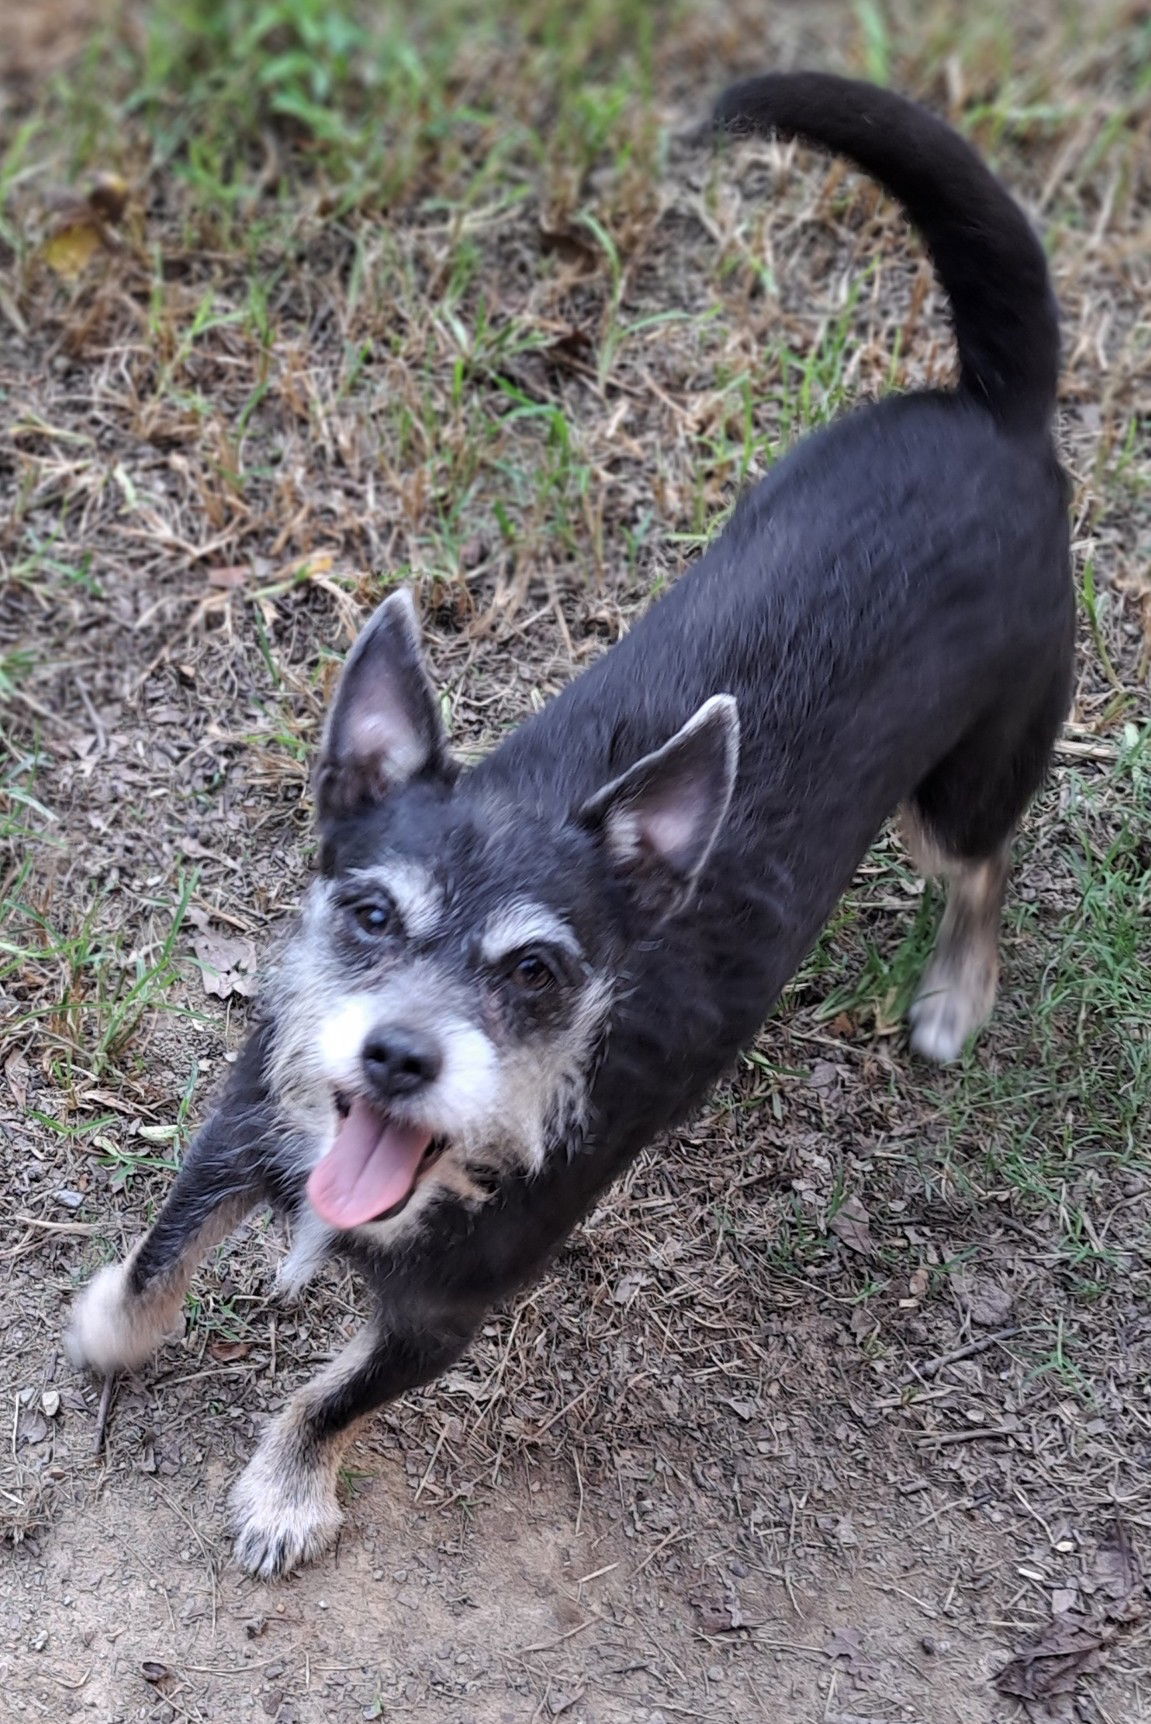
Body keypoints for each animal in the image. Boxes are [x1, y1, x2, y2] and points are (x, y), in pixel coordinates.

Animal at [67, 77, 1075, 1579]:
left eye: (535, 972)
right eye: (370, 913)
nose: (399, 1054)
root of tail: (997, 415)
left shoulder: (446, 1311)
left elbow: (332, 1392)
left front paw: (284, 1493)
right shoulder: (240, 1126)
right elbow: (161, 1254)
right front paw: (103, 1332)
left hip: (958, 788)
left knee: (980, 867)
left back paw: (954, 993)